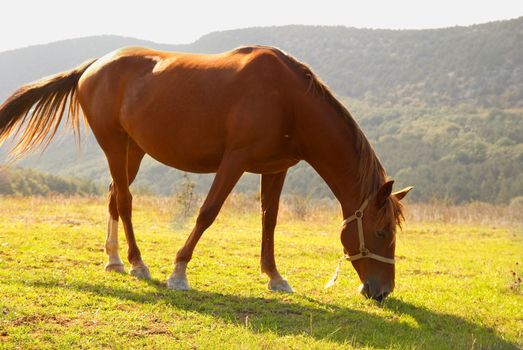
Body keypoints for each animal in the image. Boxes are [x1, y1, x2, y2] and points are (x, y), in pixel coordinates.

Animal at [0, 45, 412, 300]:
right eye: (381, 232)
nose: (382, 291)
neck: (288, 100)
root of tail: (93, 66)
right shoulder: (234, 161)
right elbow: (207, 212)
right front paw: (179, 271)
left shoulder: (275, 169)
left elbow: (270, 220)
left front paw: (275, 276)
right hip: (115, 146)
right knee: (126, 201)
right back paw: (137, 263)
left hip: (133, 151)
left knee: (114, 197)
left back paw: (115, 260)